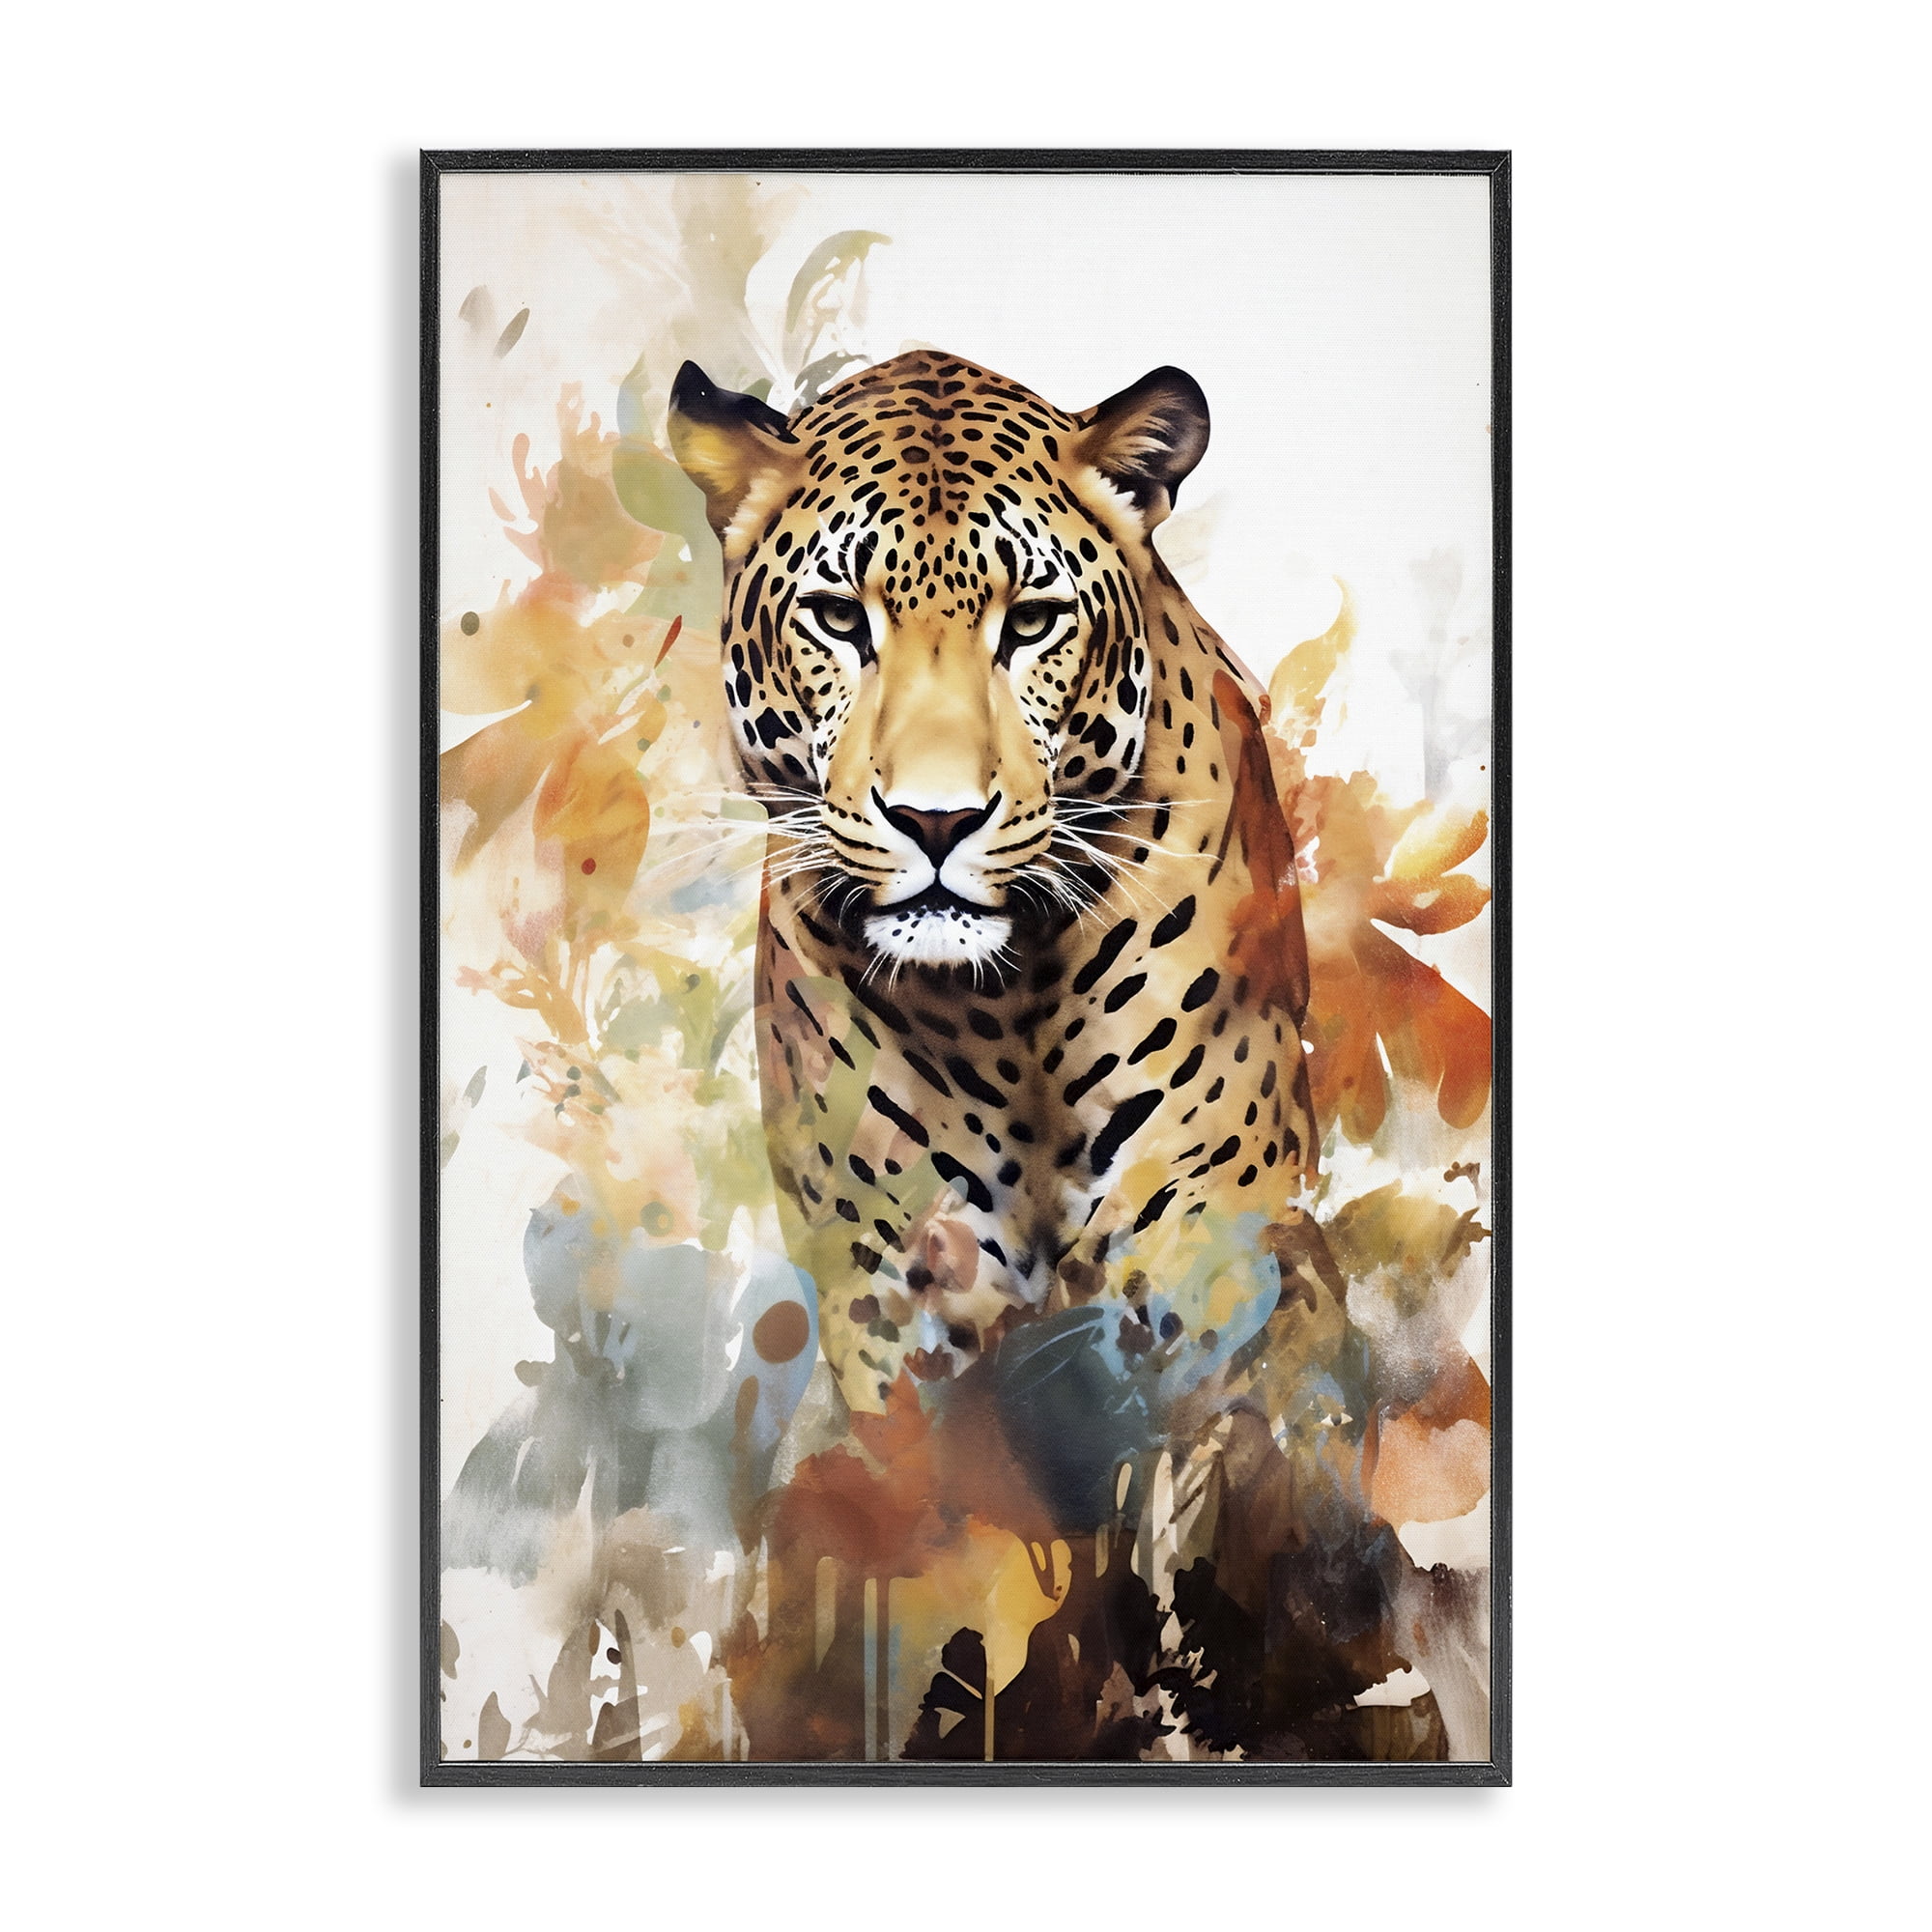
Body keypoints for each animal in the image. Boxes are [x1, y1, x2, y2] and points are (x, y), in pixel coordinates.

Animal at [669, 349, 1327, 1496]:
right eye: (839, 617)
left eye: (1029, 623)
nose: (936, 820)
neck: (1006, 1007)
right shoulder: (892, 1287)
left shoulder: (1206, 1236)